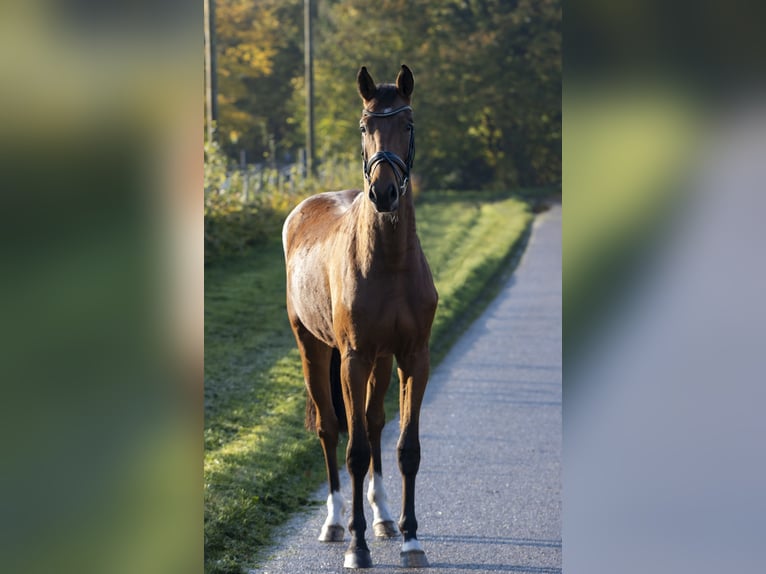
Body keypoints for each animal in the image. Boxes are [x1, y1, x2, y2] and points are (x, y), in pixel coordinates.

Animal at [282, 64, 438, 572]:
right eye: (365, 126)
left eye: (407, 124)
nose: (383, 192)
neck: (388, 263)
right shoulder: (352, 359)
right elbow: (354, 450)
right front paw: (357, 545)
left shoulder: (412, 358)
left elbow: (405, 447)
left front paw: (410, 539)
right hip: (313, 348)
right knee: (332, 429)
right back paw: (334, 523)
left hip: (381, 362)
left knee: (372, 422)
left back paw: (384, 518)